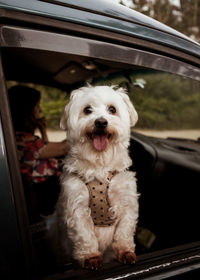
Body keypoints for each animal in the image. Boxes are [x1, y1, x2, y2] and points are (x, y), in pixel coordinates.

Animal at [54, 85, 139, 270]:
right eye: (87, 110)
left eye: (112, 109)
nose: (101, 122)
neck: (99, 164)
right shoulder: (77, 206)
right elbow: (85, 236)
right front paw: (90, 256)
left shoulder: (126, 203)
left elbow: (124, 231)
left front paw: (125, 251)